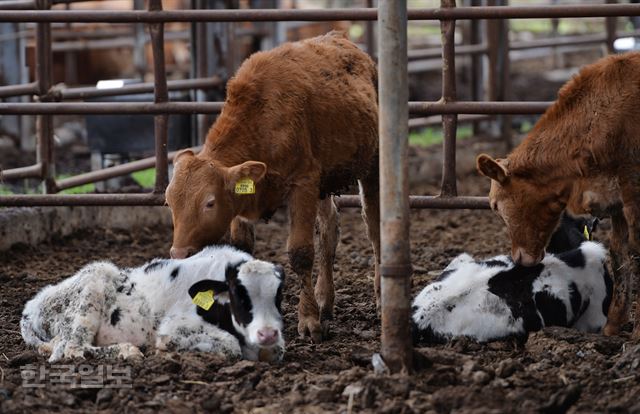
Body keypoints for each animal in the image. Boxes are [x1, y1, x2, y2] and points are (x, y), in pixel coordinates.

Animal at [20, 246, 284, 362]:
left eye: (278, 296)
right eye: (239, 295)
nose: (267, 333)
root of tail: (32, 306)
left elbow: (278, 349)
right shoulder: (173, 327)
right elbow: (231, 346)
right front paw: (162, 349)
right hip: (93, 285)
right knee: (73, 348)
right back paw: (128, 351)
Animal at [164, 31, 380, 342]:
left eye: (209, 202)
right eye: (169, 201)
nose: (179, 254)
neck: (263, 117)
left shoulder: (304, 183)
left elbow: (301, 252)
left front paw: (308, 321)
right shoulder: (245, 198)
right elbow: (243, 250)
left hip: (372, 162)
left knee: (374, 228)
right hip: (325, 183)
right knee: (329, 230)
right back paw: (325, 301)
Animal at [478, 51, 640, 340]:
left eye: (496, 205)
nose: (519, 259)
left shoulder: (633, 189)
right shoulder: (617, 199)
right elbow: (620, 252)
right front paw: (614, 323)